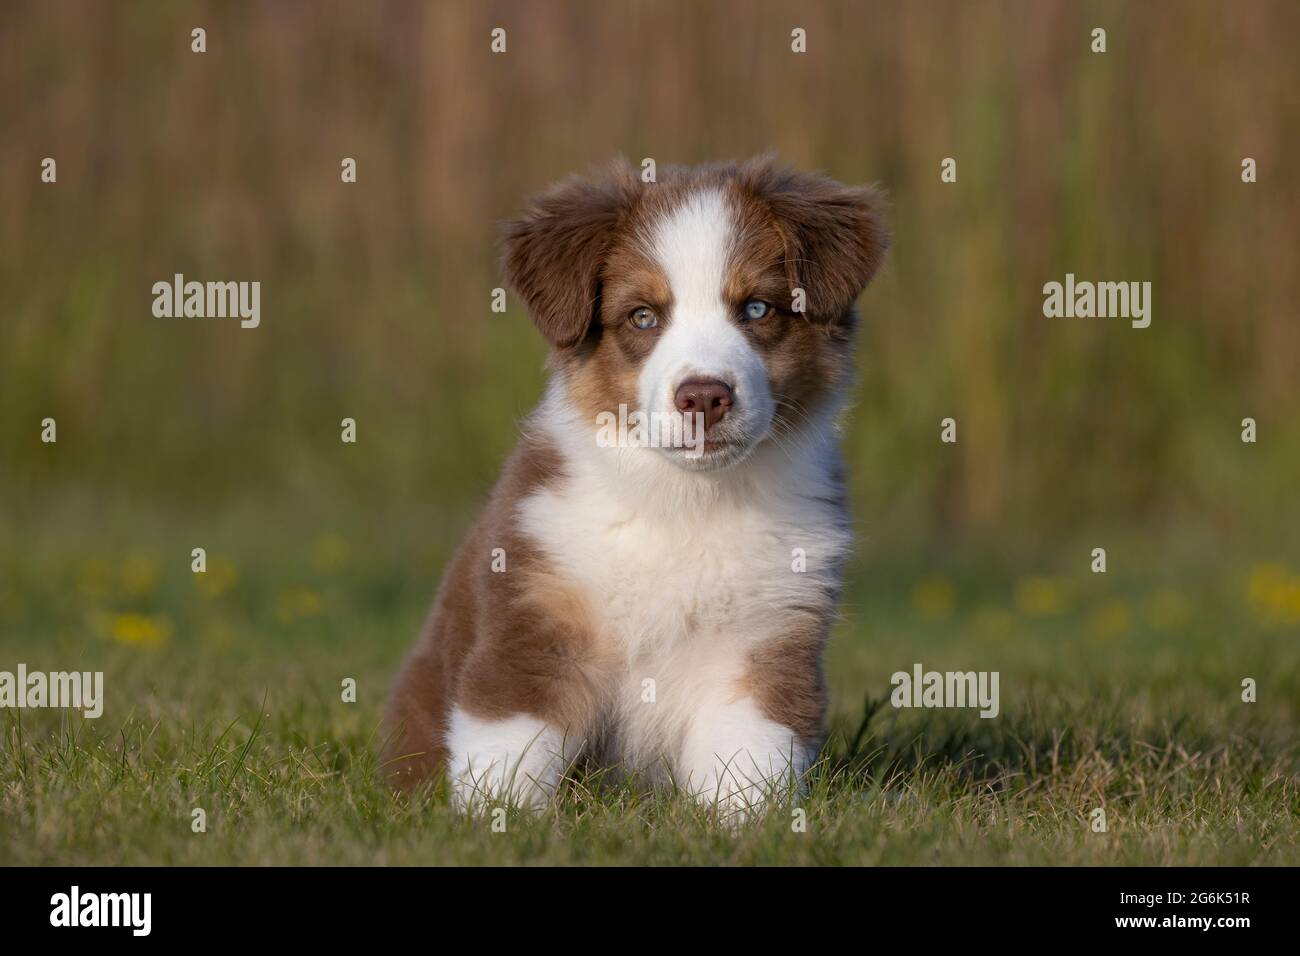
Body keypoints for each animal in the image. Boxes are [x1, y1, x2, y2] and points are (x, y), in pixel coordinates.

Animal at [379, 160, 889, 816]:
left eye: (756, 308)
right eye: (643, 316)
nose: (704, 397)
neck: (685, 502)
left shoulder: (764, 642)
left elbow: (749, 765)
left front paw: (746, 826)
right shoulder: (534, 625)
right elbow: (508, 755)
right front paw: (502, 823)